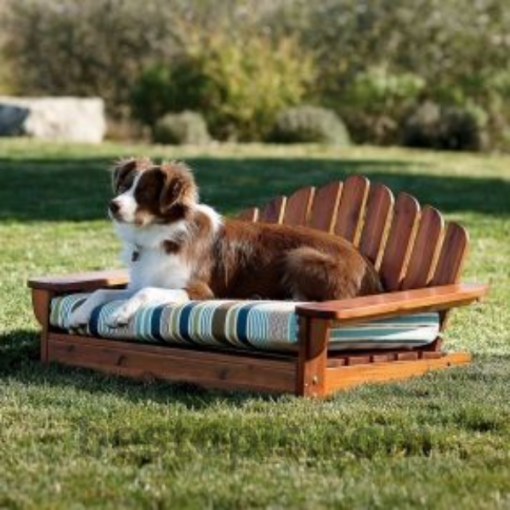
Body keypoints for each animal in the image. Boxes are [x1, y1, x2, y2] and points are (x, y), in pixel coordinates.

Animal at [69, 157, 384, 328]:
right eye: (124, 186)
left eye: (144, 191)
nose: (113, 205)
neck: (158, 234)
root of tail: (372, 273)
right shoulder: (141, 279)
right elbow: (101, 291)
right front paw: (79, 314)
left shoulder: (200, 290)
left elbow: (145, 293)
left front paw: (120, 314)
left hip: (300, 255)